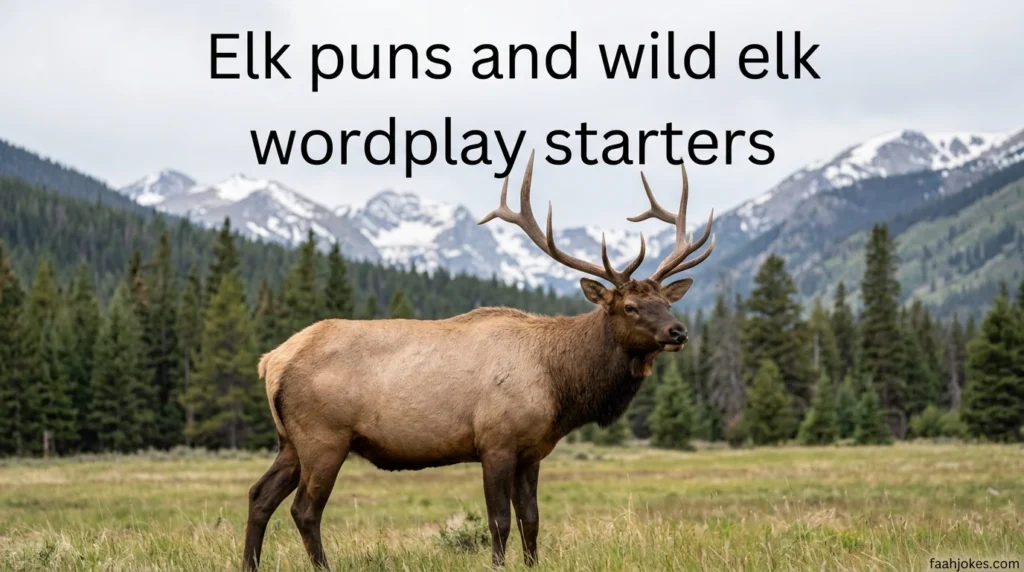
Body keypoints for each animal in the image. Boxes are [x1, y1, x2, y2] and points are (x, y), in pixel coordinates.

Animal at [241, 150, 716, 571]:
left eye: (665, 302)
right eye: (630, 307)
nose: (679, 332)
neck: (560, 385)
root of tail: (272, 361)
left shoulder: (532, 451)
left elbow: (531, 520)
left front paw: (532, 564)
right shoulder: (495, 441)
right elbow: (499, 520)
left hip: (290, 441)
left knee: (259, 495)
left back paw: (249, 564)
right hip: (324, 436)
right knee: (305, 509)